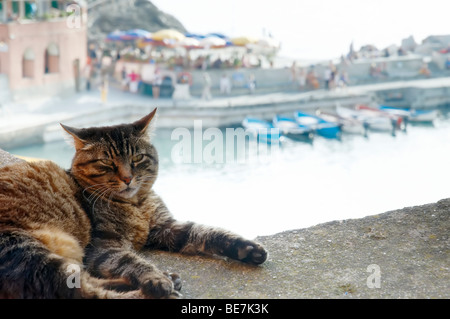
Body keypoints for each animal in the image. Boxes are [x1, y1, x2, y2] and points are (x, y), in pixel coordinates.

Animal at [0, 110, 268, 300]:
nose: (128, 178)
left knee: (87, 283)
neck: (137, 204)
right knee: (83, 292)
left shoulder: (166, 227)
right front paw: (153, 278)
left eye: (137, 158)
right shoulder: (104, 247)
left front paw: (246, 248)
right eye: (106, 163)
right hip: (29, 252)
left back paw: (166, 279)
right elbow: (131, 262)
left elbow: (206, 231)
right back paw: (157, 289)